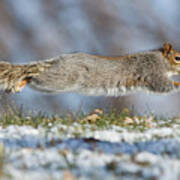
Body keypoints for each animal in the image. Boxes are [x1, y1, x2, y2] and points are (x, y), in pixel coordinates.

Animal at [0, 42, 180, 95]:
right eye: (177, 58)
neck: (161, 59)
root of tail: (57, 61)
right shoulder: (152, 70)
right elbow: (164, 85)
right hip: (61, 79)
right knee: (34, 75)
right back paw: (24, 79)